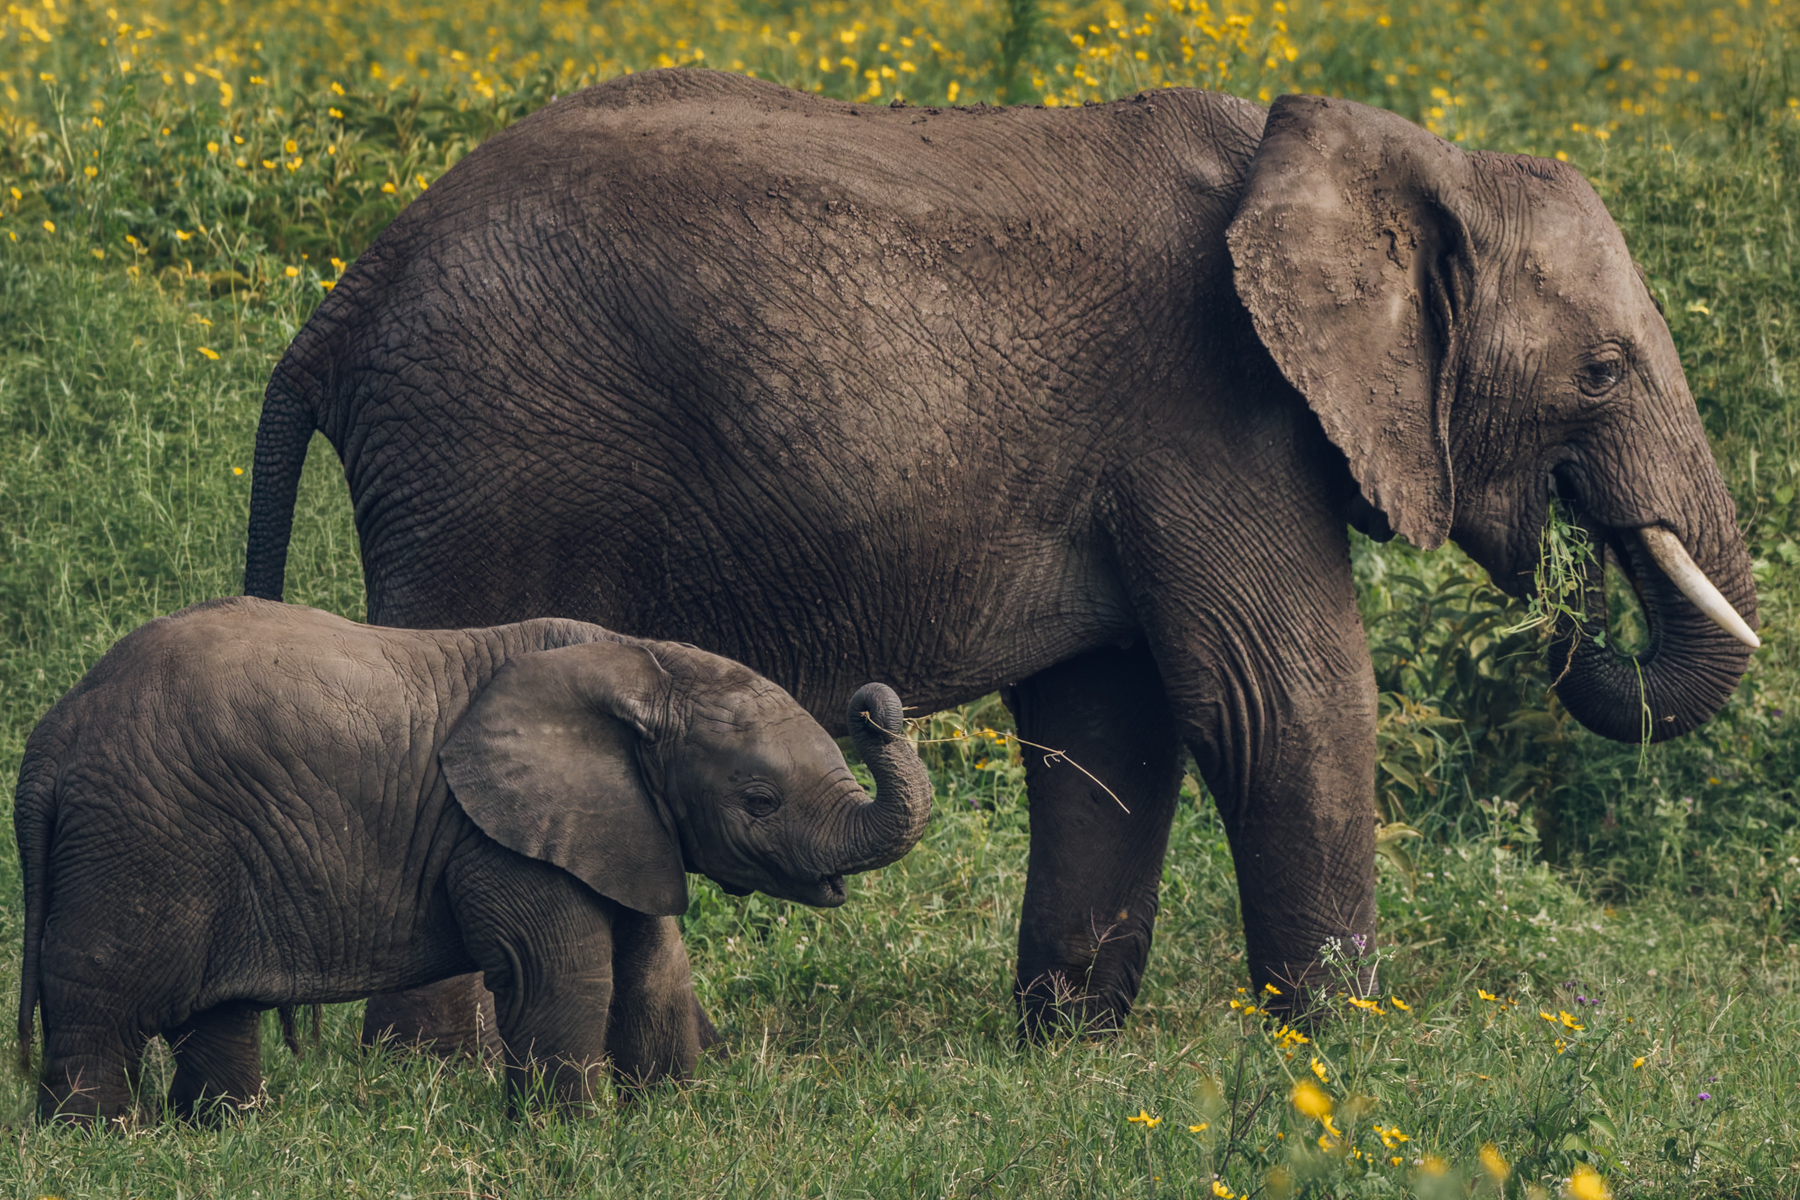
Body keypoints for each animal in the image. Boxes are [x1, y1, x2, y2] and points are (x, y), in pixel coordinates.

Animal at [13, 597, 930, 1122]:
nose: (873, 702)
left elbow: (654, 965)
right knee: (102, 1000)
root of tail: (54, 735)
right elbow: (561, 969)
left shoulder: (618, 819)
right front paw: (572, 1138)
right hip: (139, 838)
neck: (639, 665)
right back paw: (97, 1139)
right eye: (759, 801)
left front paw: (670, 1119)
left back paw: (227, 1133)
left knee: (217, 1012)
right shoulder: (495, 831)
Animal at [243, 70, 1758, 1038]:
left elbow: (1114, 718)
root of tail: (346, 299)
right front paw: (1336, 1053)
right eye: (1604, 372)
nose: (1572, 614)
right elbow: (1277, 698)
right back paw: (433, 1076)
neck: (1384, 155)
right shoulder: (1213, 406)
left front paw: (1072, 1042)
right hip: (486, 461)